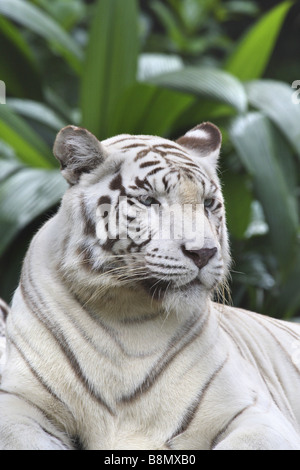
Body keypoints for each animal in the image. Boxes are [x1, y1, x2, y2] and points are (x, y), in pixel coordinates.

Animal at [0, 123, 298, 450]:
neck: (129, 314)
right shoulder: (19, 401)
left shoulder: (253, 412)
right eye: (149, 201)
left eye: (208, 203)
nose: (204, 253)